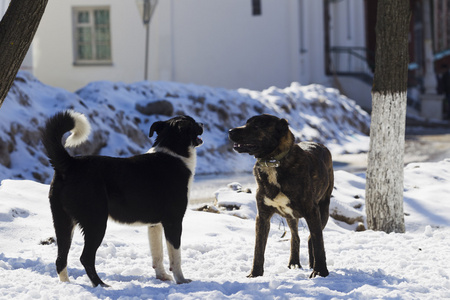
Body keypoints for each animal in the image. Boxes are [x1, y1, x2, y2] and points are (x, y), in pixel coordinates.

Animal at [42, 111, 204, 288]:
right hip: (96, 223)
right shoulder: (173, 222)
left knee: (60, 260)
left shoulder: (154, 225)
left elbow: (157, 255)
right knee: (85, 258)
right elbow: (176, 257)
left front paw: (162, 277)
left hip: (63, 222)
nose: (203, 124)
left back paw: (67, 284)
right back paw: (101, 285)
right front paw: (181, 281)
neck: (174, 153)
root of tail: (69, 163)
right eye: (193, 122)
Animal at [230, 114, 332, 278]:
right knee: (295, 237)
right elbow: (258, 249)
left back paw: (312, 264)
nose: (230, 131)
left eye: (256, 126)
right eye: (246, 123)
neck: (273, 162)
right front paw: (255, 274)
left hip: (323, 210)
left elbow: (319, 244)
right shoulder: (262, 216)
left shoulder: (312, 212)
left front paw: (320, 272)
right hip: (291, 217)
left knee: (312, 237)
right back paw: (294, 262)